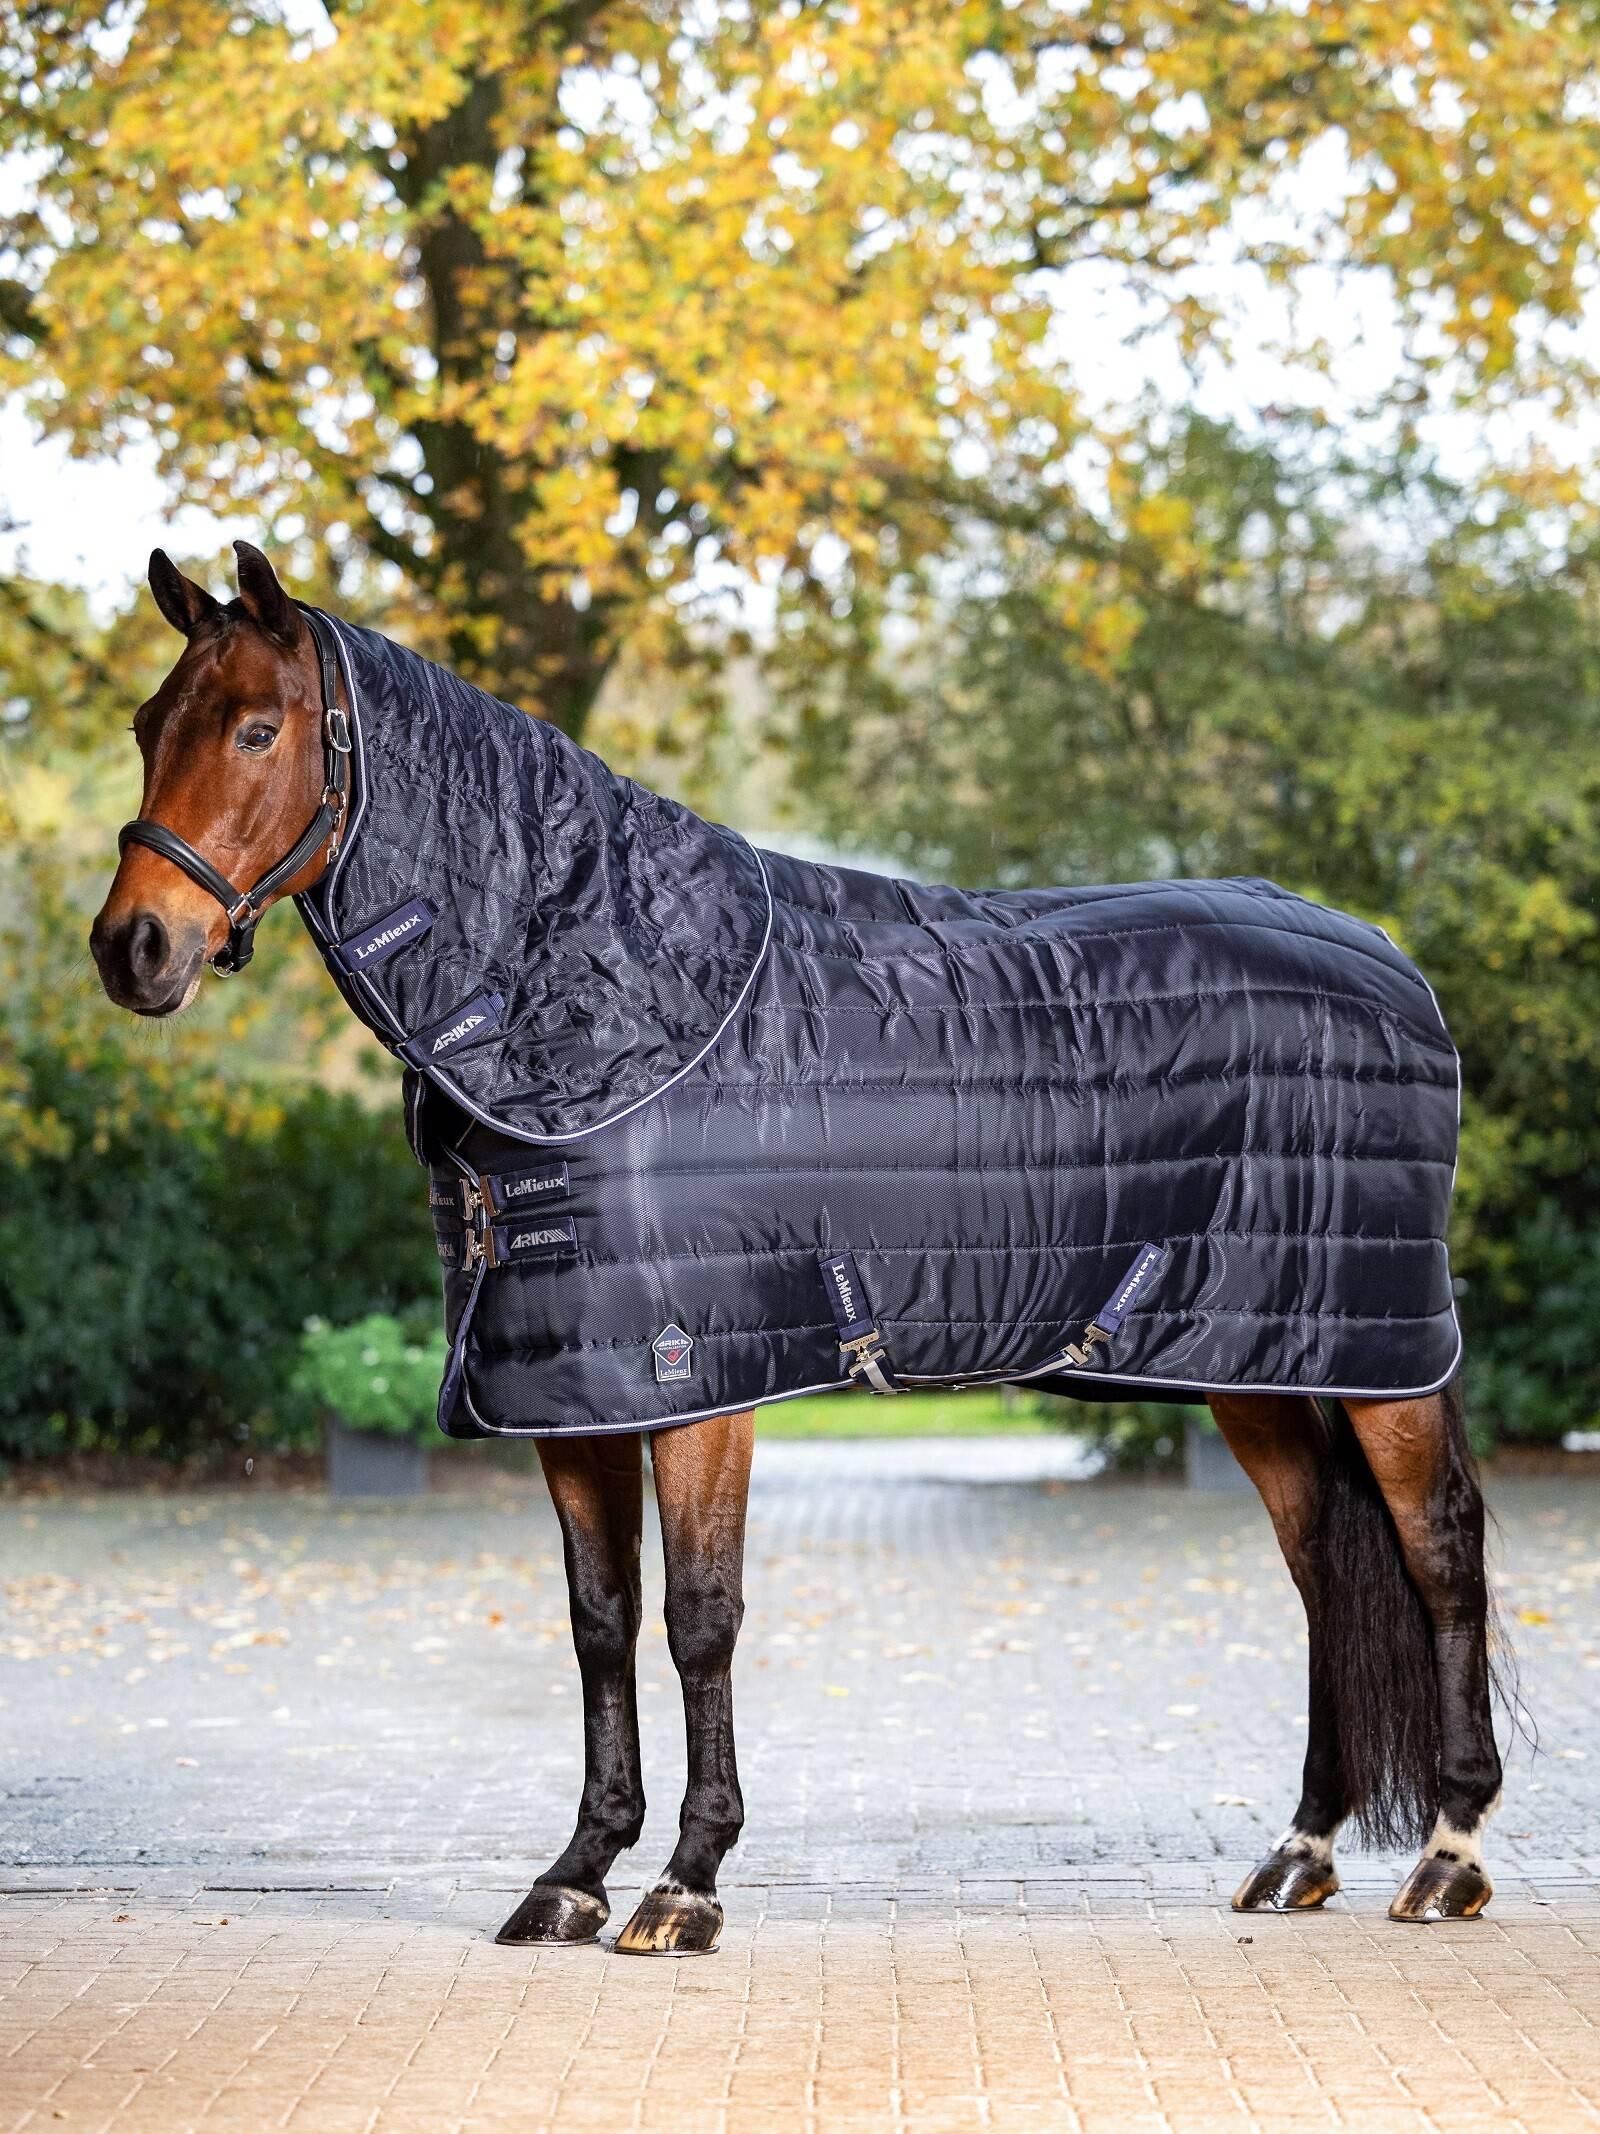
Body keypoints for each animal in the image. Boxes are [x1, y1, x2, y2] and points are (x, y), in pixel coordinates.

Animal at [89, 541, 1504, 1954]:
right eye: (151, 725)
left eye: (257, 729)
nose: (133, 947)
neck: (609, 1004)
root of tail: (1393, 967)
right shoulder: (572, 1391)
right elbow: (599, 1623)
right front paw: (575, 1871)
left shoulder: (698, 1377)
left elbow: (698, 1618)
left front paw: (684, 1880)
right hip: (1256, 1355)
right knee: (1321, 1565)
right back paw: (1301, 1847)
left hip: (1381, 1348)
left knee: (1437, 1552)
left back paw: (1448, 1854)